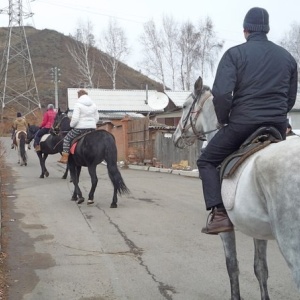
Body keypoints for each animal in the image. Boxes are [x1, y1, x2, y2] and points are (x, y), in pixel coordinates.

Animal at [172, 77, 300, 300]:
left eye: (185, 106)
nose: (175, 136)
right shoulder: (257, 228)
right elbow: (260, 269)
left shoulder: (225, 229)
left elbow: (232, 266)